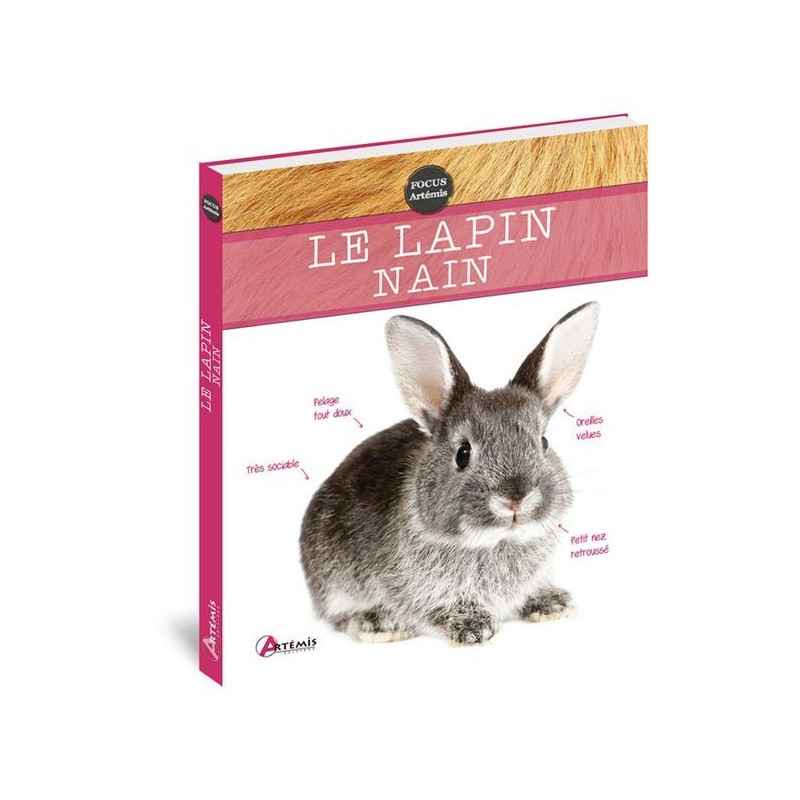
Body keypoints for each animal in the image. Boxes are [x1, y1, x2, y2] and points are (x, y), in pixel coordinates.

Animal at [300, 301, 599, 645]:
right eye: (463, 454)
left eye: (544, 442)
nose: (515, 498)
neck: (496, 540)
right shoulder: (418, 589)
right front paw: (474, 627)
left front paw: (554, 604)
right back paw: (378, 624)